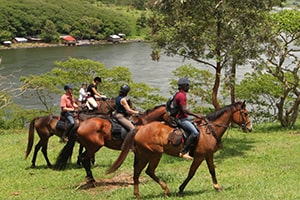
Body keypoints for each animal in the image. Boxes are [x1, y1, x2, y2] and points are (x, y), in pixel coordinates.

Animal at [106, 101, 252, 199]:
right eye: (245, 113)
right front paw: (181, 189)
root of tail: (140, 128)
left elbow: (212, 171)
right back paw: (166, 190)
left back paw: (138, 195)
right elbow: (191, 173)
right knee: (148, 171)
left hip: (143, 155)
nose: (250, 128)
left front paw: (217, 187)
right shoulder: (199, 157)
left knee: (137, 172)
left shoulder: (208, 155)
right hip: (154, 154)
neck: (209, 131)